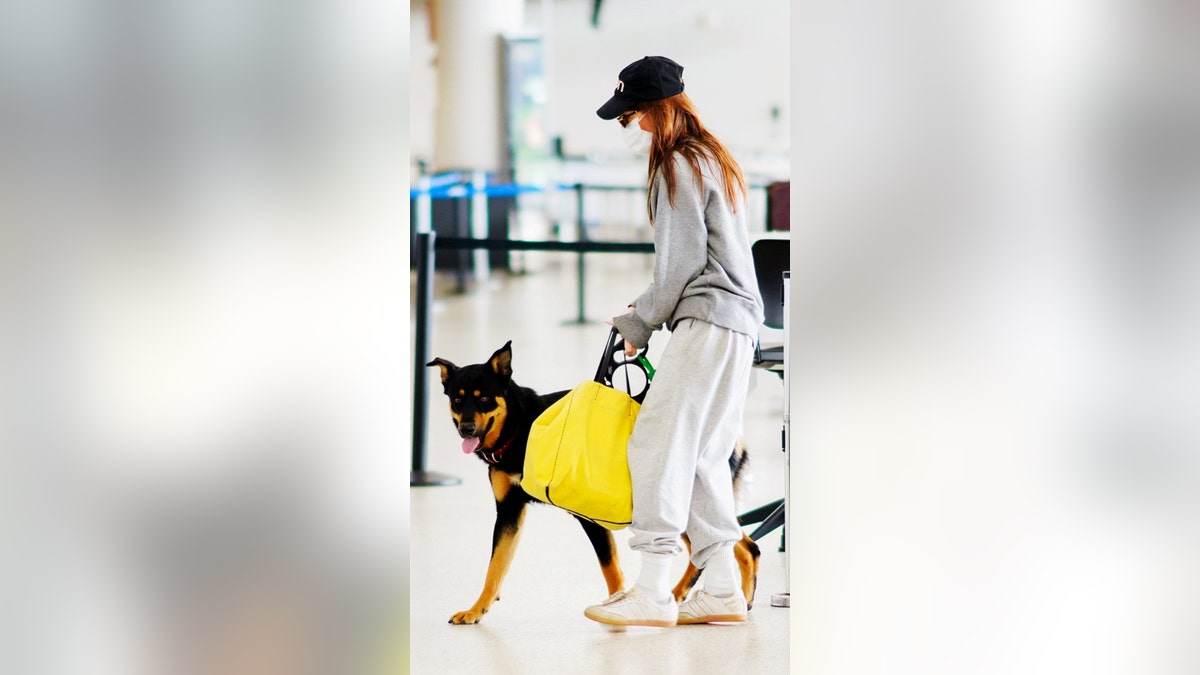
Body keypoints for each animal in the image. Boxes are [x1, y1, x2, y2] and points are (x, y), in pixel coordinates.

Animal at [424, 338, 758, 624]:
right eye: (457, 400)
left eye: (483, 399)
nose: (466, 429)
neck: (519, 427)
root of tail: (733, 435)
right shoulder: (509, 512)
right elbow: (495, 567)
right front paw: (477, 609)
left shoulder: (587, 515)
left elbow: (610, 567)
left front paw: (617, 608)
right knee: (741, 547)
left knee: (734, 548)